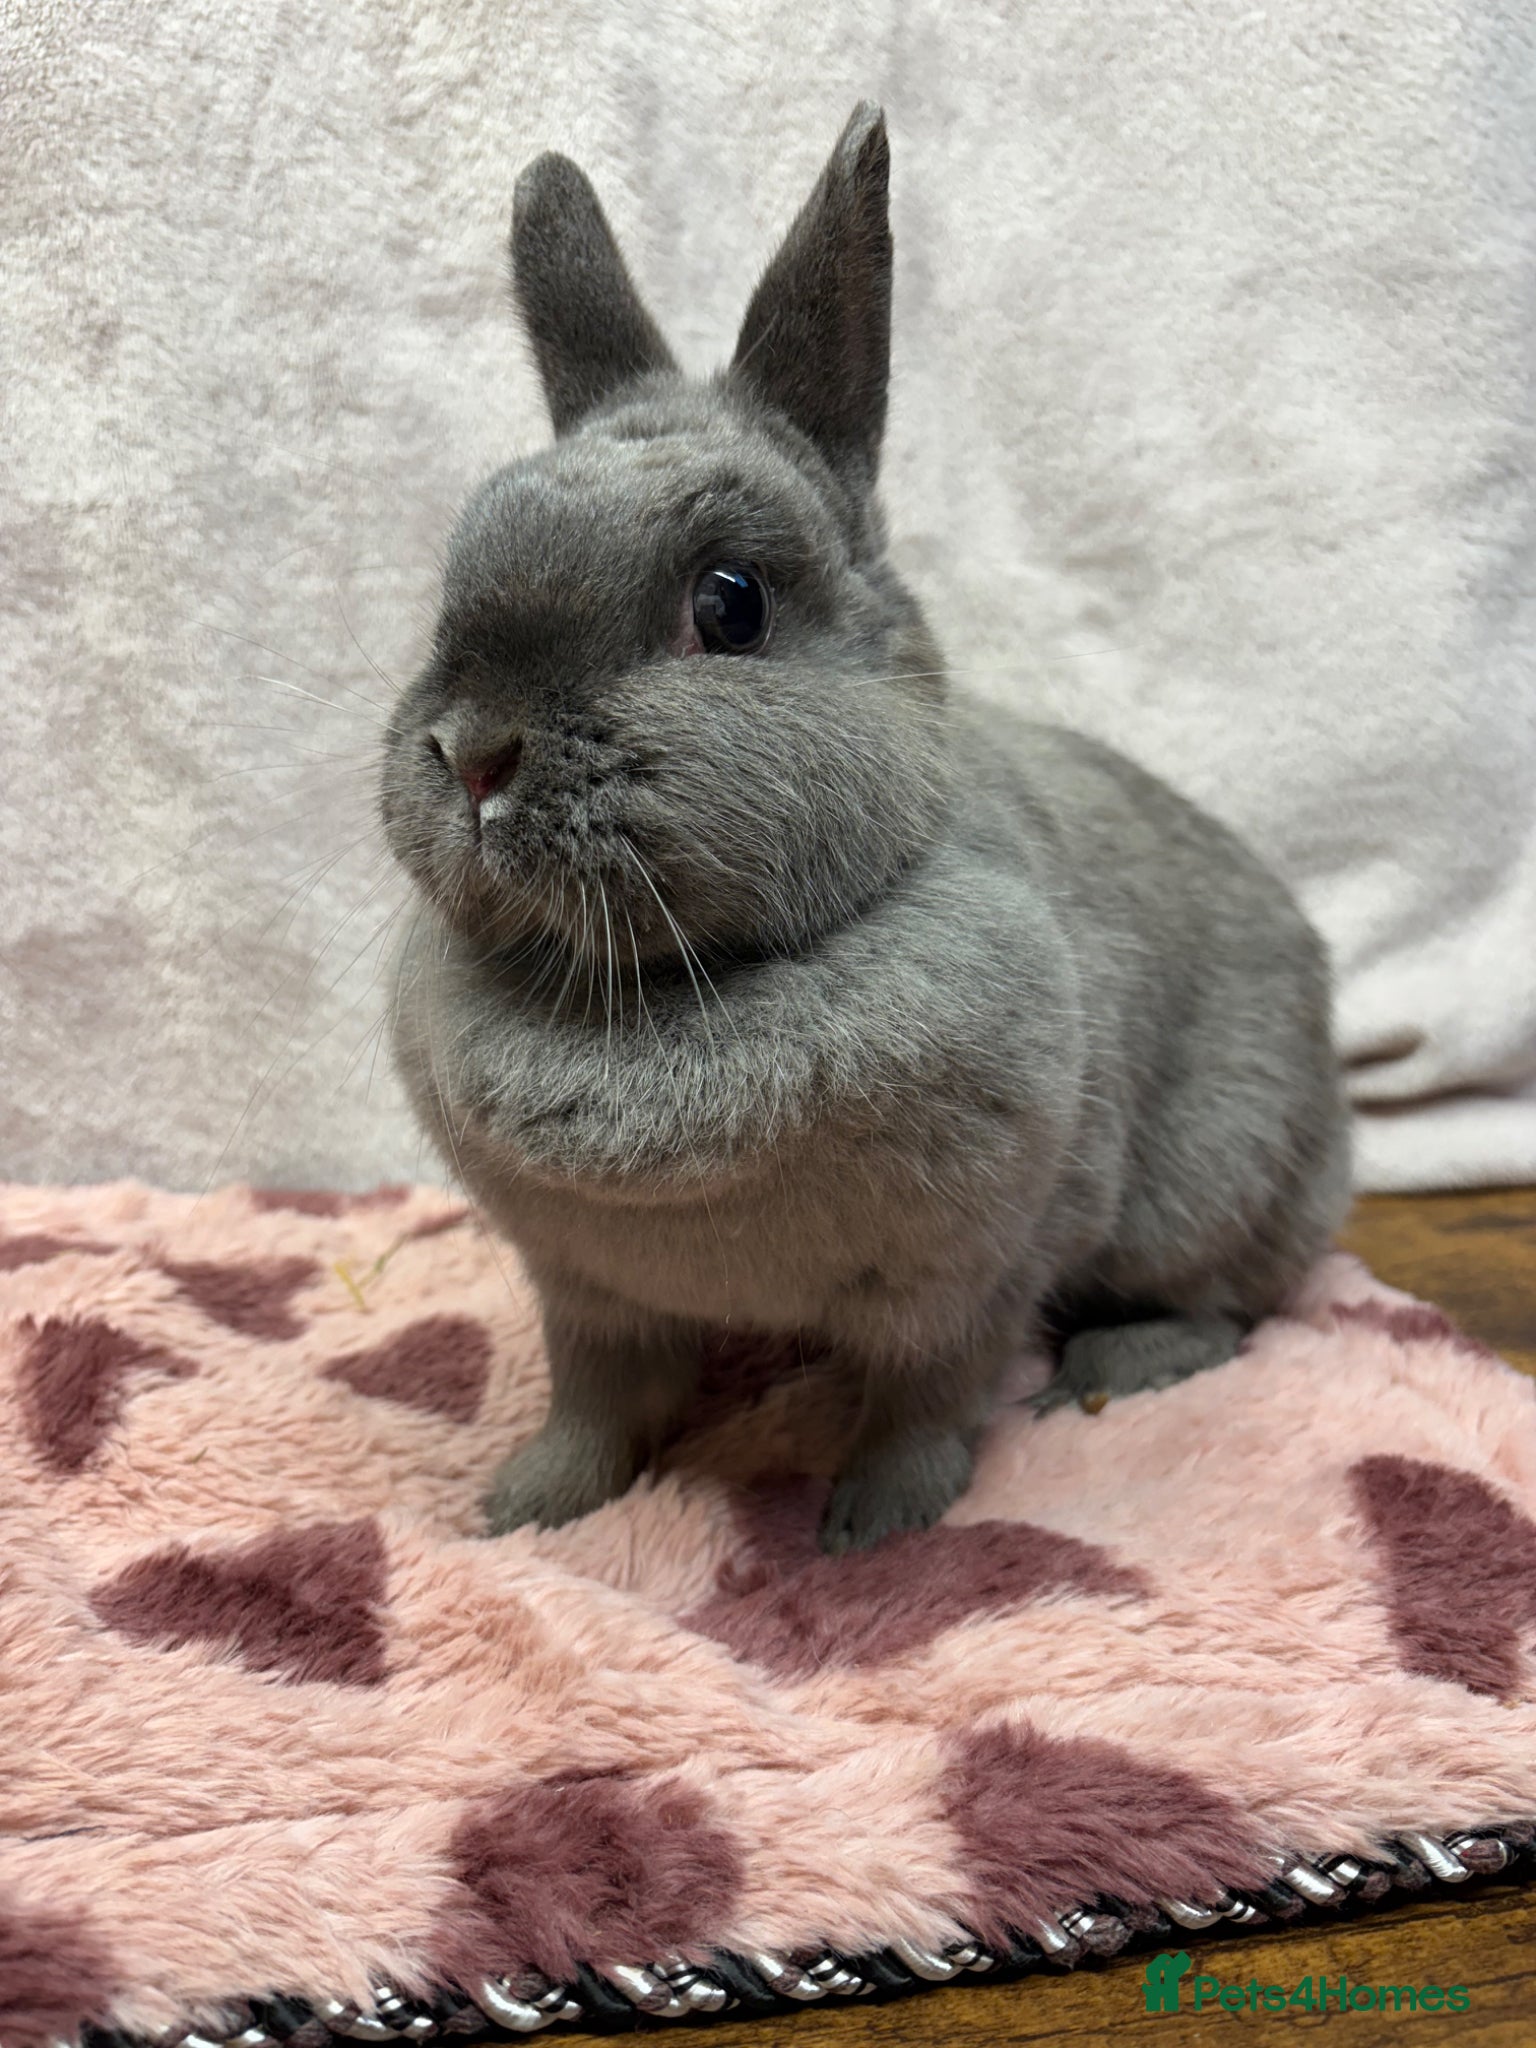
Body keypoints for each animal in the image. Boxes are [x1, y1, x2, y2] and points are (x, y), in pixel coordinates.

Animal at [380, 102, 1350, 1553]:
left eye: (731, 603)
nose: (474, 751)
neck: (654, 989)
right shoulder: (587, 1296)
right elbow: (596, 1407)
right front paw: (521, 1511)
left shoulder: (968, 1281)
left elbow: (923, 1405)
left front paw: (872, 1530)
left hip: (1214, 1185)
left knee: (1231, 1305)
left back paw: (1112, 1371)